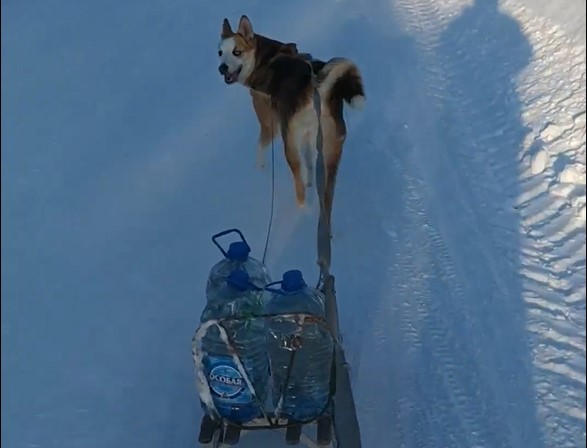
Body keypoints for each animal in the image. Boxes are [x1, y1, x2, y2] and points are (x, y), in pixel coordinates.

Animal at [218, 15, 366, 208]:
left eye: (237, 52)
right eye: (220, 52)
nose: (222, 68)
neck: (264, 59)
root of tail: (316, 91)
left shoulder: (269, 125)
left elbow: (260, 148)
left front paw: (258, 170)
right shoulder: (308, 138)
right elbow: (309, 162)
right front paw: (310, 180)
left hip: (289, 143)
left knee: (298, 183)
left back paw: (302, 207)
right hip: (329, 145)